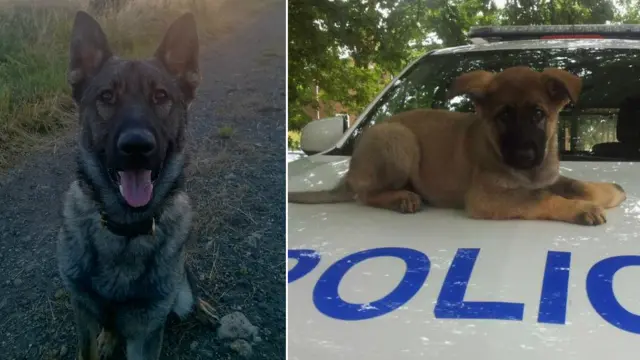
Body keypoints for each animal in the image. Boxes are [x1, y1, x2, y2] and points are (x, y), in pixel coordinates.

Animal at [55, 9, 215, 358]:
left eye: (160, 96)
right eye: (106, 97)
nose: (137, 147)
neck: (124, 229)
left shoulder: (147, 331)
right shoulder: (83, 314)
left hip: (177, 297)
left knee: (187, 294)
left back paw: (205, 309)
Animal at [288, 65, 624, 225]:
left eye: (539, 115)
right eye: (504, 116)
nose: (525, 155)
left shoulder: (547, 177)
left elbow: (574, 184)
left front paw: (609, 191)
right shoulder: (484, 197)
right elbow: (540, 198)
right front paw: (582, 210)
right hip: (399, 139)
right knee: (365, 194)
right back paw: (401, 198)